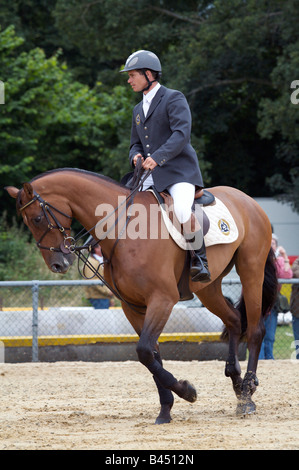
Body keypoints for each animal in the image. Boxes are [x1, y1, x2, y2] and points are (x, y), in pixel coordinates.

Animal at [4, 168, 278, 422]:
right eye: (28, 222)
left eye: (38, 218)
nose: (57, 265)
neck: (125, 231)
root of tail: (248, 200)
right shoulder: (133, 306)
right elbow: (151, 355)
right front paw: (166, 408)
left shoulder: (162, 299)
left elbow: (145, 350)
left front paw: (187, 391)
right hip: (209, 288)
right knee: (233, 320)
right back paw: (237, 384)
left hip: (250, 270)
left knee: (256, 330)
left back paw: (247, 396)